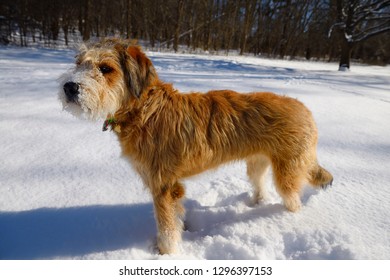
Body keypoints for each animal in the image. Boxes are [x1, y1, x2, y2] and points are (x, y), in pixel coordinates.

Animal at [58, 38, 332, 255]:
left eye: (106, 68)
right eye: (79, 63)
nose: (70, 87)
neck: (144, 110)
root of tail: (305, 109)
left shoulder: (163, 187)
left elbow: (167, 228)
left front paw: (166, 254)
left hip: (287, 172)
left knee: (293, 199)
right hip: (257, 164)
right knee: (261, 187)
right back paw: (254, 204)